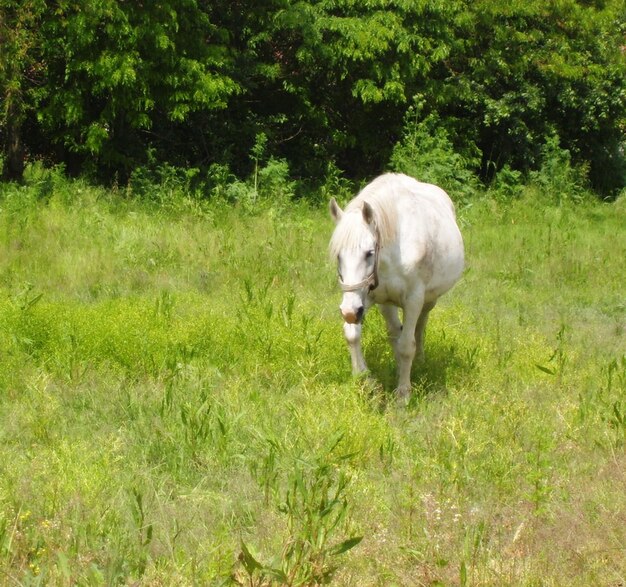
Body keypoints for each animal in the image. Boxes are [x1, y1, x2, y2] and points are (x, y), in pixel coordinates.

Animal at [330, 172, 460, 402]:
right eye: (338, 255)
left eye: (369, 253)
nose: (349, 312)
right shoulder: (370, 298)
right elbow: (353, 335)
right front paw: (364, 380)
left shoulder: (414, 299)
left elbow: (407, 345)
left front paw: (403, 394)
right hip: (387, 304)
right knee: (395, 333)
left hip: (429, 300)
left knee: (419, 327)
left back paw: (419, 361)